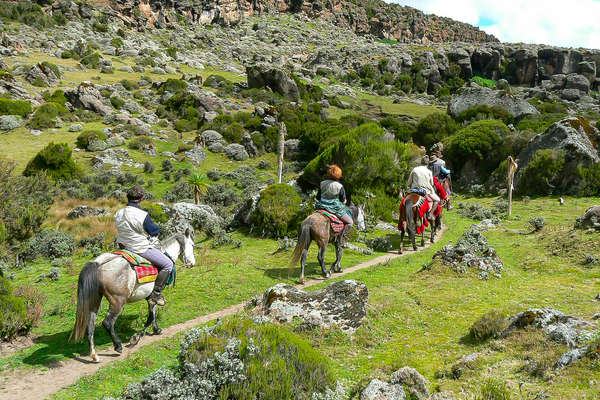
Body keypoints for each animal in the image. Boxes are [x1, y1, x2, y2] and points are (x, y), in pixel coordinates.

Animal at [70, 228, 196, 362]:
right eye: (192, 245)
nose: (192, 263)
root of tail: (99, 263)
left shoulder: (150, 297)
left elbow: (153, 314)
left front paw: (156, 329)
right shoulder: (152, 297)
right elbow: (151, 317)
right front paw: (136, 337)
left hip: (95, 301)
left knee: (90, 325)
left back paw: (94, 355)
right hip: (118, 301)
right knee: (107, 322)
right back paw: (118, 346)